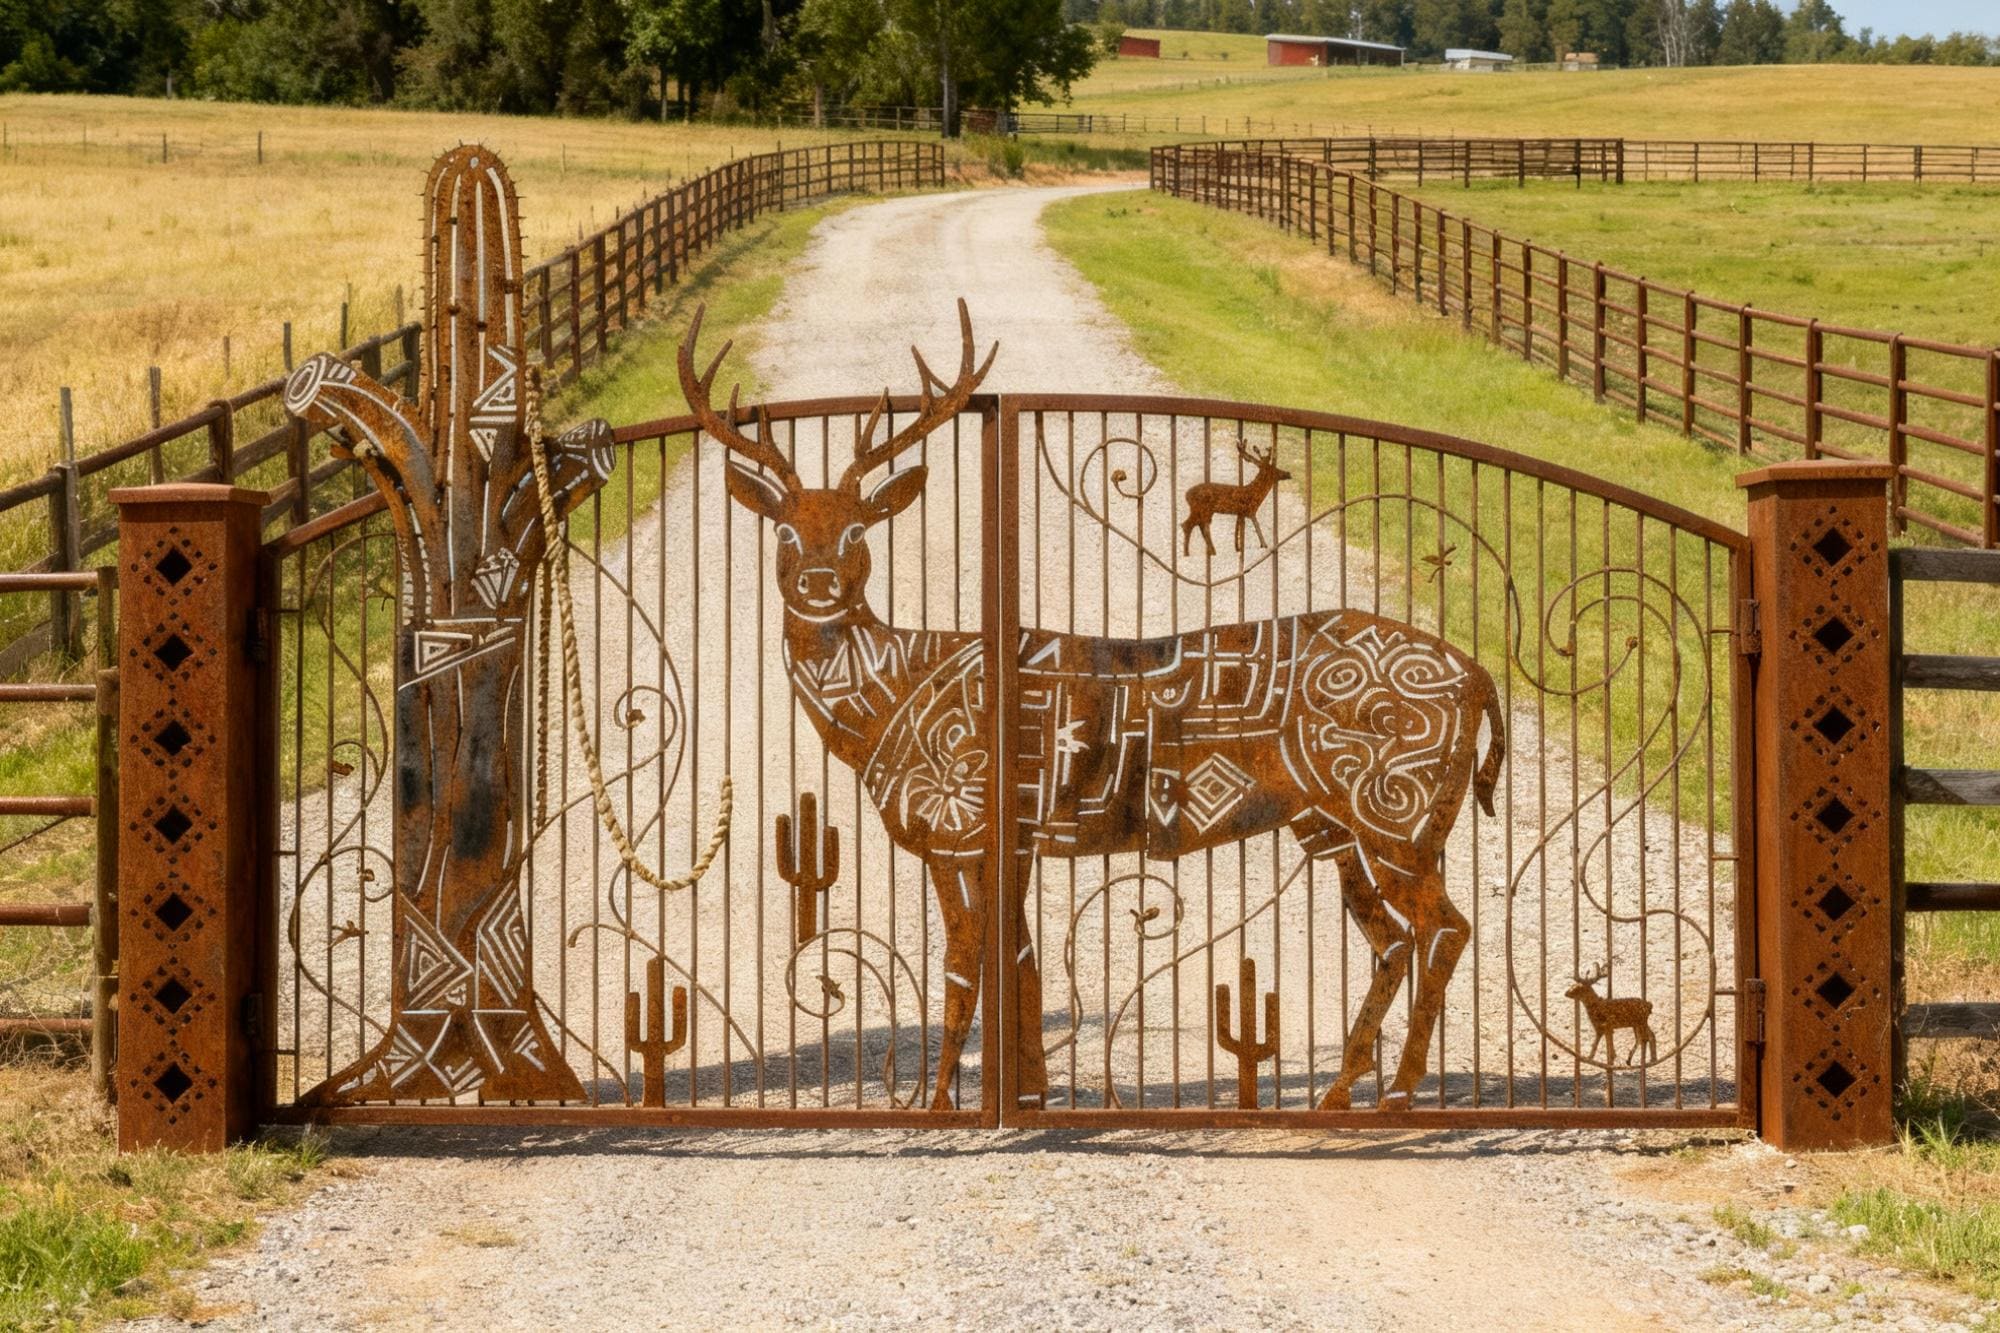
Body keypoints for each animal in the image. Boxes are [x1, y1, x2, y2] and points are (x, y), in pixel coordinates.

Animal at [679, 299, 1507, 1113]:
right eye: (784, 529)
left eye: (857, 528)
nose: (817, 584)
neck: (893, 693)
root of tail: (1482, 679)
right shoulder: (1001, 837)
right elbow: (1018, 956)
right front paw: (1031, 1091)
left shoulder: (969, 822)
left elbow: (966, 962)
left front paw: (944, 1100)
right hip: (1332, 823)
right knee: (1394, 937)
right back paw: (1341, 1090)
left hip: (1399, 809)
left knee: (1447, 927)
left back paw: (1397, 1090)